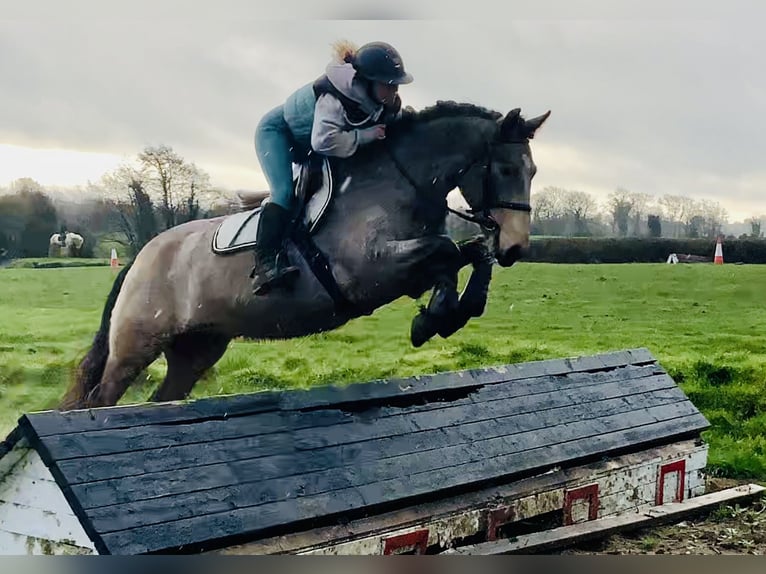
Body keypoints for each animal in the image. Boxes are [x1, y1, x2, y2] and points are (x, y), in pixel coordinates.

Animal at [60, 101, 550, 410]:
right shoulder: (370, 271)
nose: (515, 247)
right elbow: (448, 252)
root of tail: (141, 258)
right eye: (506, 168)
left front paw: (444, 314)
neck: (400, 182)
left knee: (163, 398)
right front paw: (435, 317)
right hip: (135, 346)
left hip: (197, 349)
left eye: (532, 171)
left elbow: (465, 256)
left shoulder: (411, 264)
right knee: (100, 398)